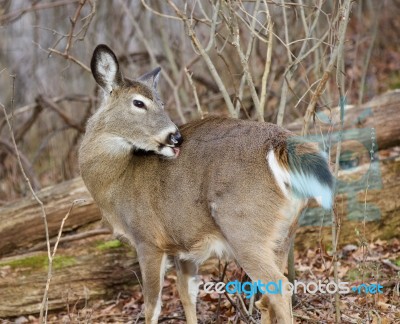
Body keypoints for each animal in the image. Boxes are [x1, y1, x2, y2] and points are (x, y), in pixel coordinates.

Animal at [79, 44, 334, 322]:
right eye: (139, 102)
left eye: (160, 102)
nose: (176, 137)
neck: (117, 182)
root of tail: (281, 144)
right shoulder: (182, 245)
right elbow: (186, 295)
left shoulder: (147, 238)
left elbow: (152, 306)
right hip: (285, 232)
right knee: (267, 296)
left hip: (244, 227)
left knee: (279, 288)